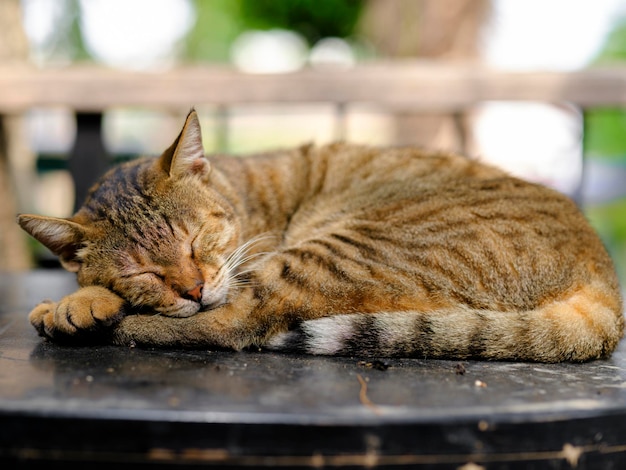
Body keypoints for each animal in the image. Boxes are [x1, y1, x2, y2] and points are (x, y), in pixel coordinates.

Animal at [17, 108, 620, 362]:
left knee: (233, 326)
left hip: (335, 251)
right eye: (144, 269)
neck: (240, 196)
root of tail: (604, 281)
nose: (192, 288)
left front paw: (81, 302)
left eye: (195, 240)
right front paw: (87, 298)